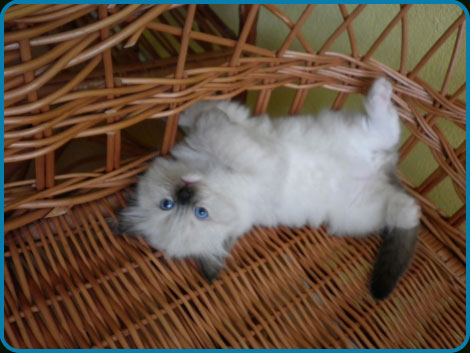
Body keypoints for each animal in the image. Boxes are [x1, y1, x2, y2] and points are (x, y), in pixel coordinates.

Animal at [119, 78, 420, 298]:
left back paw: (380, 88)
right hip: (359, 212)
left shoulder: (232, 131)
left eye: (166, 204)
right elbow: (219, 129)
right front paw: (206, 119)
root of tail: (385, 171)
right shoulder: (261, 162)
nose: (184, 194)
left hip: (355, 136)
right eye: (198, 213)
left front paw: (183, 114)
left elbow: (204, 116)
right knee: (403, 207)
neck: (209, 172)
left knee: (386, 130)